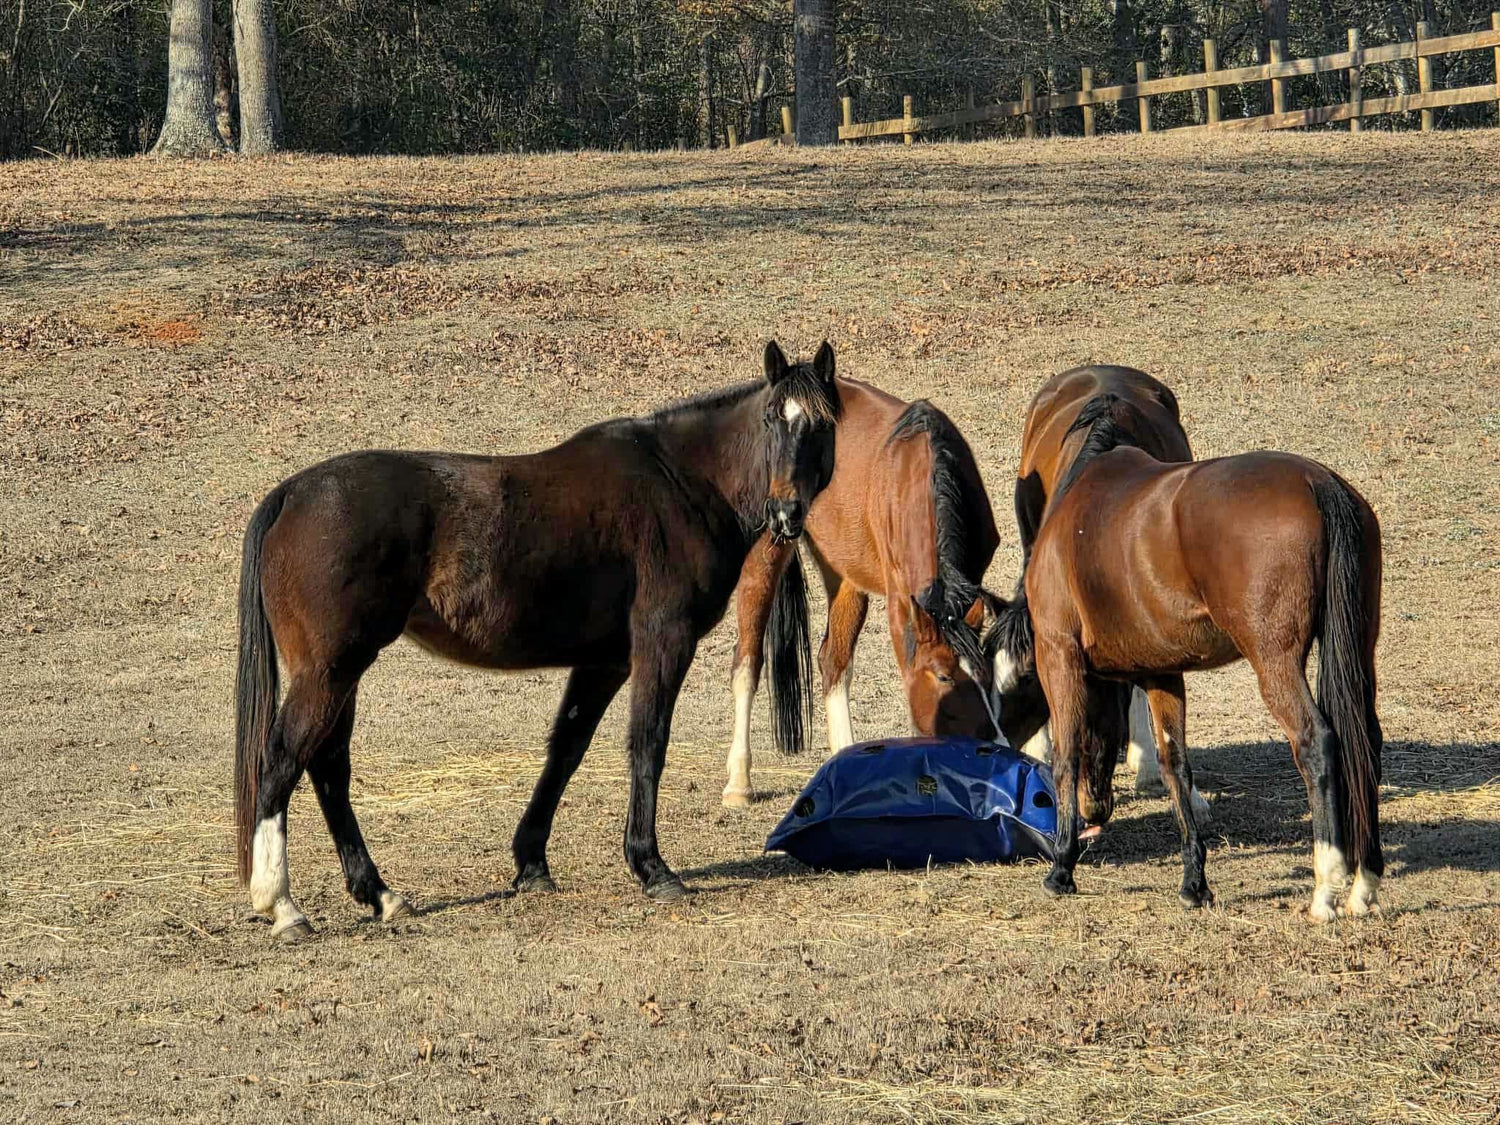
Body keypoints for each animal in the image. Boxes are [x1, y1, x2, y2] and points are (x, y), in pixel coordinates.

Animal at [234, 341, 842, 941]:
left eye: (821, 425)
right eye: (772, 420)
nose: (787, 513)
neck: (682, 484)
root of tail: (291, 493)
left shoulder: (605, 661)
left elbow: (566, 749)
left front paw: (531, 864)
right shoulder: (663, 643)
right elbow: (648, 743)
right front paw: (651, 866)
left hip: (342, 672)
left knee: (328, 767)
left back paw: (381, 895)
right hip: (331, 669)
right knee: (283, 758)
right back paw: (282, 905)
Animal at [721, 381, 1002, 807]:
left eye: (987, 675)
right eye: (943, 677)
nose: (990, 744)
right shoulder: (902, 603)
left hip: (845, 576)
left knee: (832, 662)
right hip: (767, 552)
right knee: (747, 661)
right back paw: (739, 782)